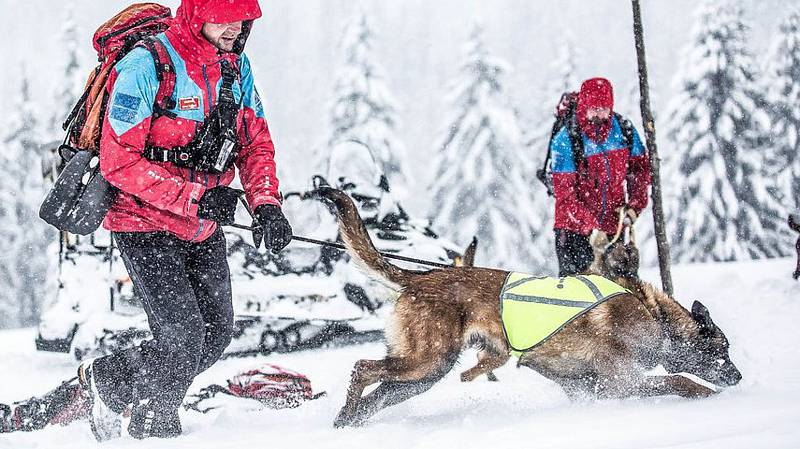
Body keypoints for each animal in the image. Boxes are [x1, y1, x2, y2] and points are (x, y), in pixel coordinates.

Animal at [316, 188, 740, 428]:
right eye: (721, 350)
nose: (737, 377)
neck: (655, 316)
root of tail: (420, 278)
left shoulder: (586, 388)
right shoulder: (622, 384)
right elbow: (682, 381)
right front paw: (711, 398)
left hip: (424, 374)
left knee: (378, 392)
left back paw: (348, 421)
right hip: (427, 360)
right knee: (361, 368)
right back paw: (348, 411)